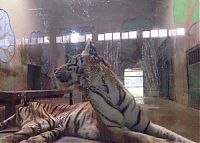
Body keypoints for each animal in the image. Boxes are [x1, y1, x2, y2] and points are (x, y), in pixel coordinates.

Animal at [52, 40, 195, 143]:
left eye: (70, 62)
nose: (54, 70)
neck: (108, 91)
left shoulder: (147, 125)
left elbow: (173, 134)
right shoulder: (115, 130)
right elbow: (143, 137)